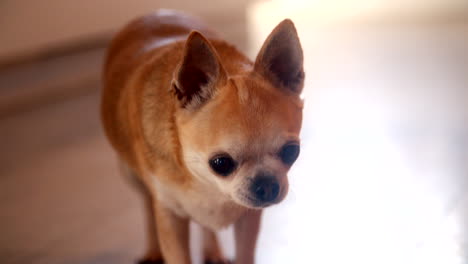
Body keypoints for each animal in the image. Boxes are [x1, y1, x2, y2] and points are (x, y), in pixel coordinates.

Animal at [101, 9, 306, 264]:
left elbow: (244, 254)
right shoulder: (170, 216)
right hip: (130, 174)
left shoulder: (248, 216)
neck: (208, 186)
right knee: (147, 204)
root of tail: (154, 12)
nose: (267, 186)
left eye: (291, 152)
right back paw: (152, 250)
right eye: (220, 163)